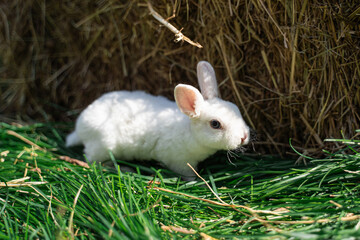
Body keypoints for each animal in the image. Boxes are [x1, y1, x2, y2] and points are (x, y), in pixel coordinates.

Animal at [66, 61, 249, 178]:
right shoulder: (180, 163)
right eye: (215, 124)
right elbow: (189, 175)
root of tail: (80, 128)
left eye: (235, 108)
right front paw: (196, 181)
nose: (243, 137)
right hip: (103, 147)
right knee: (92, 161)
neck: (189, 132)